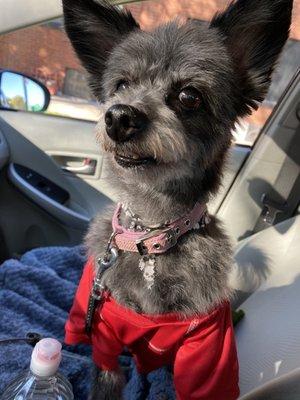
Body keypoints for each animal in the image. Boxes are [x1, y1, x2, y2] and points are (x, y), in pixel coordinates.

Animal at [62, 1, 292, 398]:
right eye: (122, 85)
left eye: (188, 96)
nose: (119, 116)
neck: (151, 239)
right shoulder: (105, 333)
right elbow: (106, 374)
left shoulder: (207, 346)